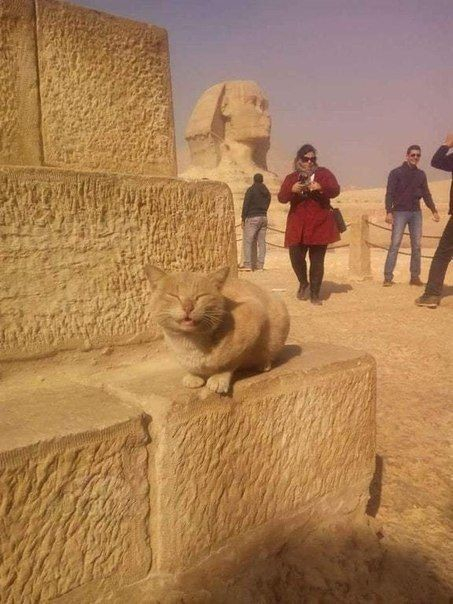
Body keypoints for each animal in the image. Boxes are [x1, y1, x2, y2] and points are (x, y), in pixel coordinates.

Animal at [145, 266, 290, 394]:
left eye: (201, 296)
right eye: (173, 295)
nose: (188, 307)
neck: (190, 342)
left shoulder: (254, 312)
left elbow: (230, 361)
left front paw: (219, 377)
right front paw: (194, 375)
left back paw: (264, 363)